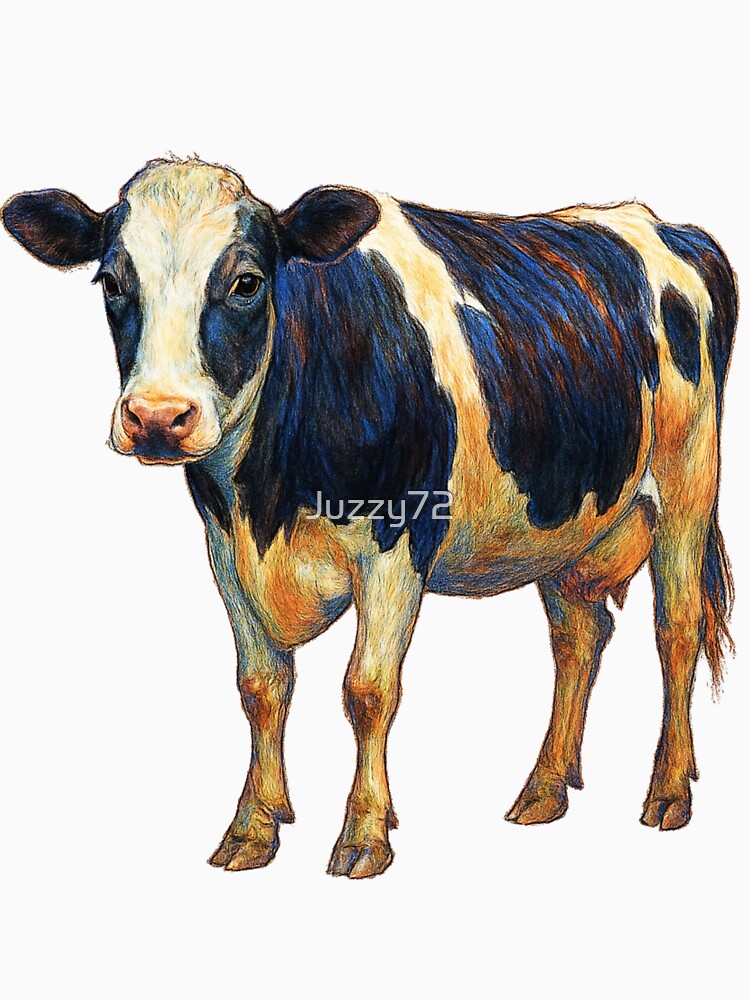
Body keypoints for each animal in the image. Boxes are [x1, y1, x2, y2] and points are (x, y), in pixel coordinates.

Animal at [3, 157, 736, 878]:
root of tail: (662, 226)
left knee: (677, 628)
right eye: (112, 283)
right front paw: (252, 828)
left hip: (687, 482)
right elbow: (260, 687)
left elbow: (367, 689)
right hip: (564, 520)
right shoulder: (224, 551)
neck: (266, 500)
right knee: (579, 636)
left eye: (246, 282)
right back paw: (544, 788)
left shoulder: (397, 544)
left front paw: (363, 834)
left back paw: (668, 790)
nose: (157, 417)